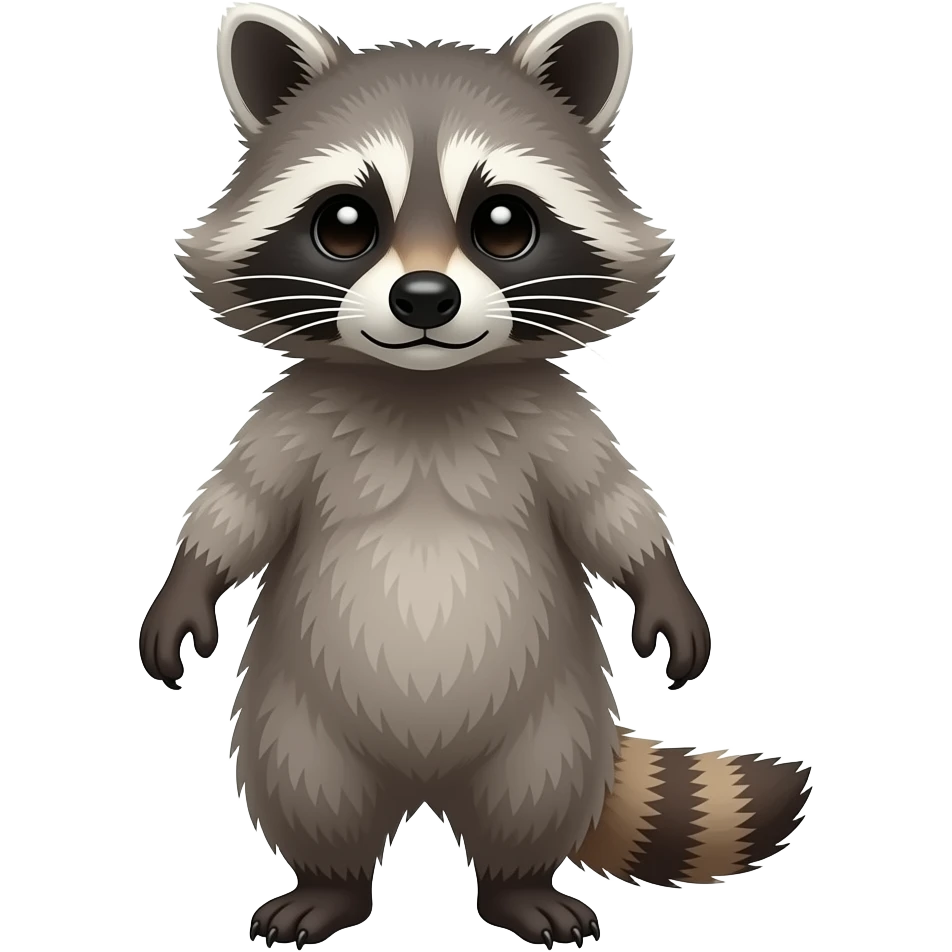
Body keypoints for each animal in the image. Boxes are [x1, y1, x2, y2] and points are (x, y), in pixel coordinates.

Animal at [141, 3, 812, 947]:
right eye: (344, 222)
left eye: (502, 223)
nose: (425, 299)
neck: (427, 387)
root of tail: (427, 782)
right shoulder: (298, 415)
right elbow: (238, 507)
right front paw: (187, 585)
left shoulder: (550, 415)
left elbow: (612, 506)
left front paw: (662, 583)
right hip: (295, 709)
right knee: (308, 787)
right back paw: (330, 884)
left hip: (553, 717)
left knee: (530, 794)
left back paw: (517, 885)